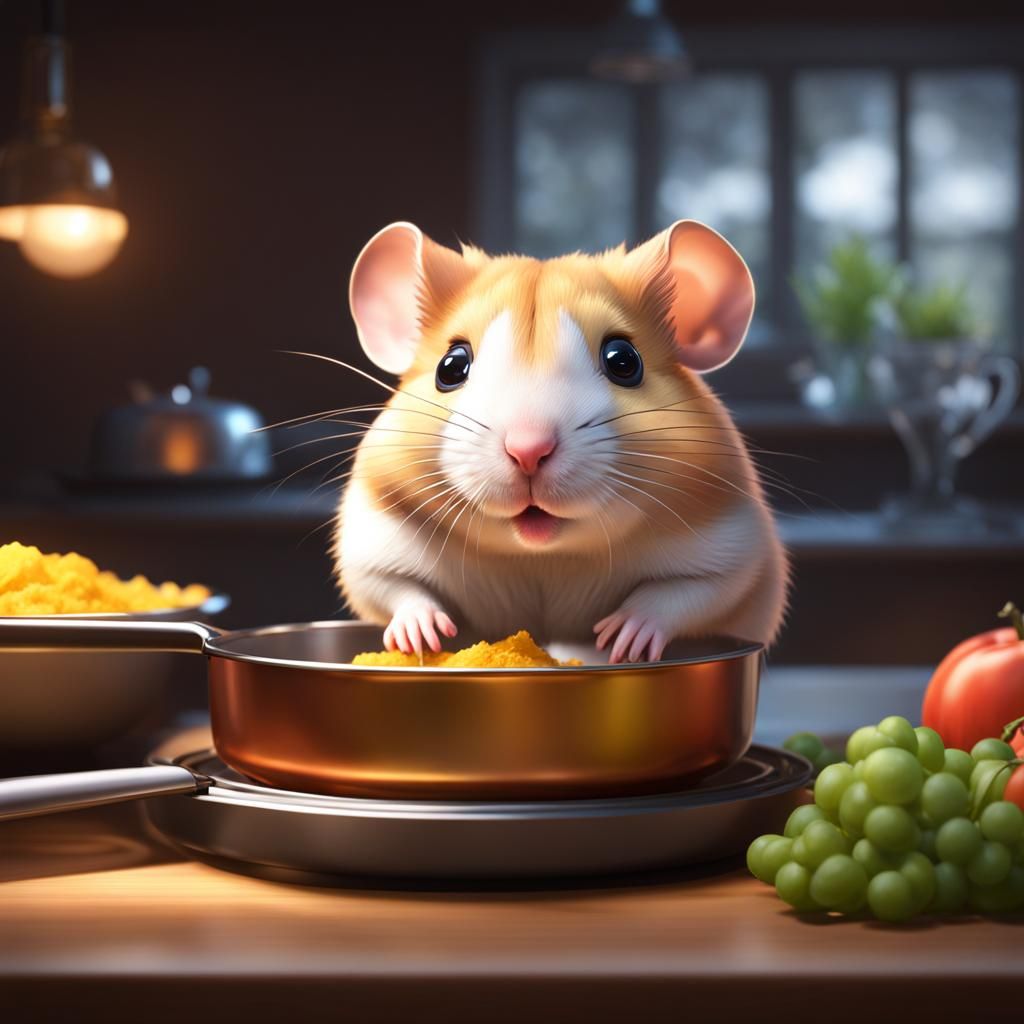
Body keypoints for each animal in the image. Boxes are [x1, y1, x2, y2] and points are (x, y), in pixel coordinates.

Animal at [333, 219, 788, 663]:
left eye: (624, 361)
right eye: (451, 367)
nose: (528, 450)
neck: (543, 554)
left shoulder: (734, 545)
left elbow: (693, 591)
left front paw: (626, 634)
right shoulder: (372, 533)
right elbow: (388, 584)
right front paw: (419, 631)